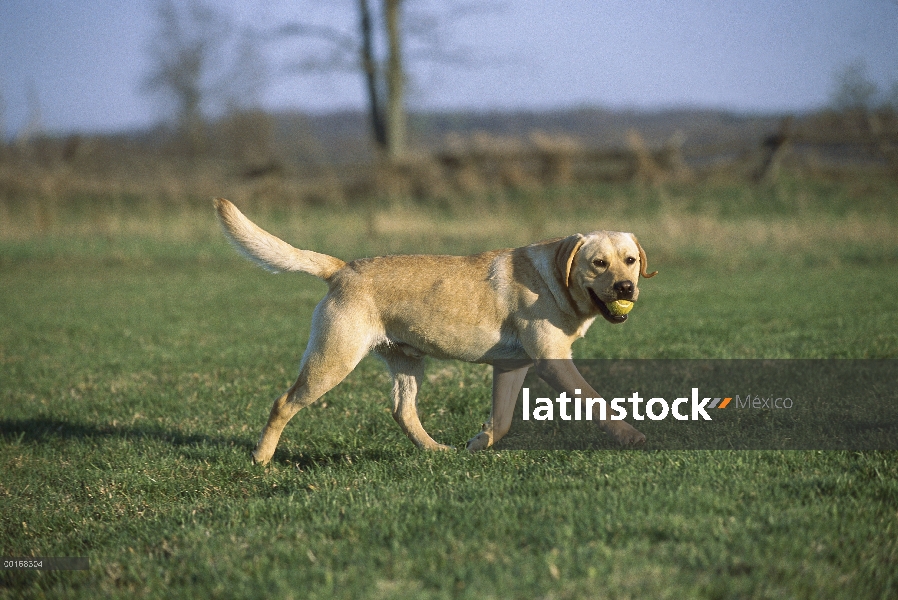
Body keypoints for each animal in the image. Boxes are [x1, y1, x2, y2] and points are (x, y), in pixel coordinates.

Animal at [214, 198, 656, 464]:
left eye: (630, 260)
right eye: (598, 263)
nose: (626, 288)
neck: (554, 282)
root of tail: (342, 269)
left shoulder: (511, 368)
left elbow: (502, 421)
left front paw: (478, 442)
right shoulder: (553, 362)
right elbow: (597, 403)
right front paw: (631, 436)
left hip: (407, 362)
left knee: (402, 411)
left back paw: (435, 450)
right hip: (332, 361)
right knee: (282, 403)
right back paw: (261, 459)